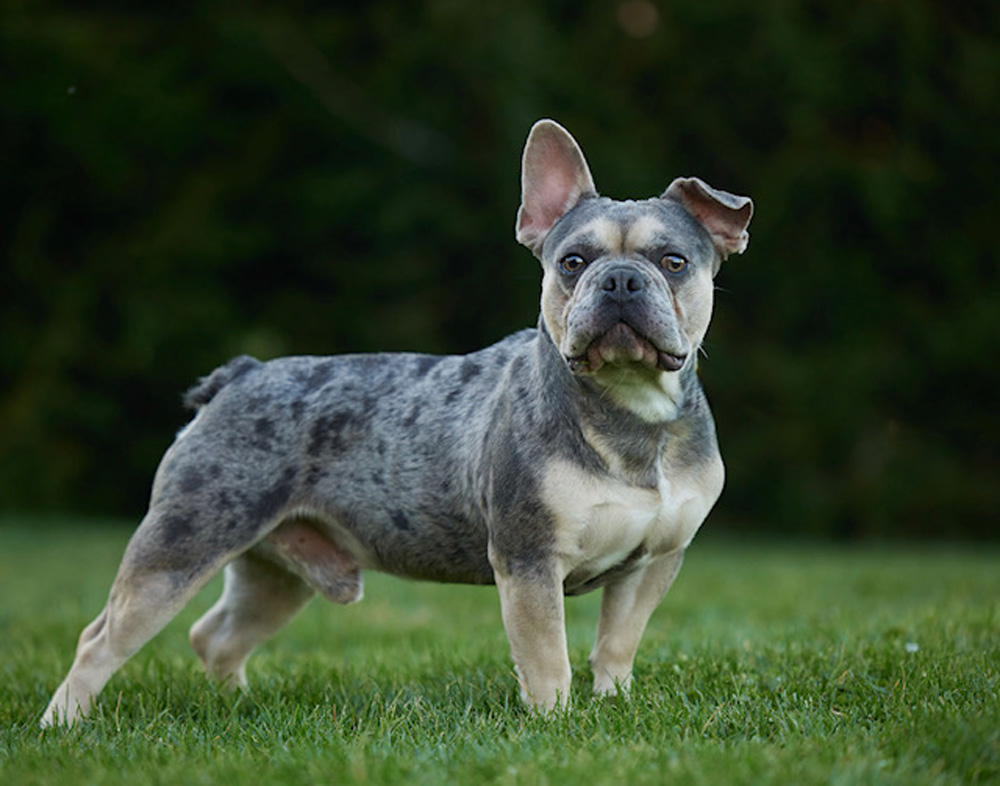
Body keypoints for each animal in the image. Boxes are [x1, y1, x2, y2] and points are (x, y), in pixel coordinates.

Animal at [43, 119, 752, 724]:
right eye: (571, 263)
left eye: (674, 262)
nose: (621, 280)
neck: (631, 410)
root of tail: (238, 377)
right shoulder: (528, 561)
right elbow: (547, 656)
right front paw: (556, 722)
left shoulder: (652, 564)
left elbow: (616, 645)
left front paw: (611, 705)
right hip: (181, 543)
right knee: (101, 639)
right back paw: (65, 724)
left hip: (275, 572)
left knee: (217, 636)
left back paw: (235, 706)